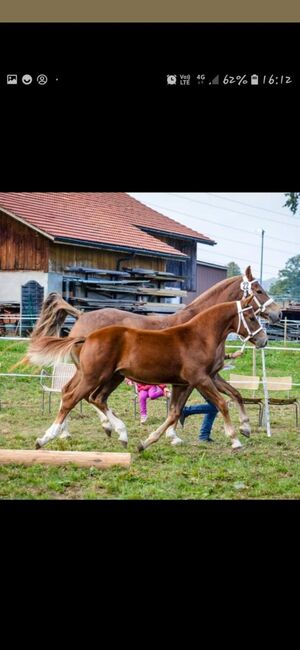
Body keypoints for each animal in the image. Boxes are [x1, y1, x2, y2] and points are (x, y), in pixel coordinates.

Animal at [27, 296, 268, 448]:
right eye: (252, 317)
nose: (263, 340)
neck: (199, 336)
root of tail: (86, 337)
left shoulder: (192, 381)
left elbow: (178, 412)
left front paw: (147, 442)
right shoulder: (200, 379)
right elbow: (221, 403)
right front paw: (235, 440)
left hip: (111, 377)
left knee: (95, 398)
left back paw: (120, 433)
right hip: (93, 376)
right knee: (71, 397)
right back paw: (46, 438)